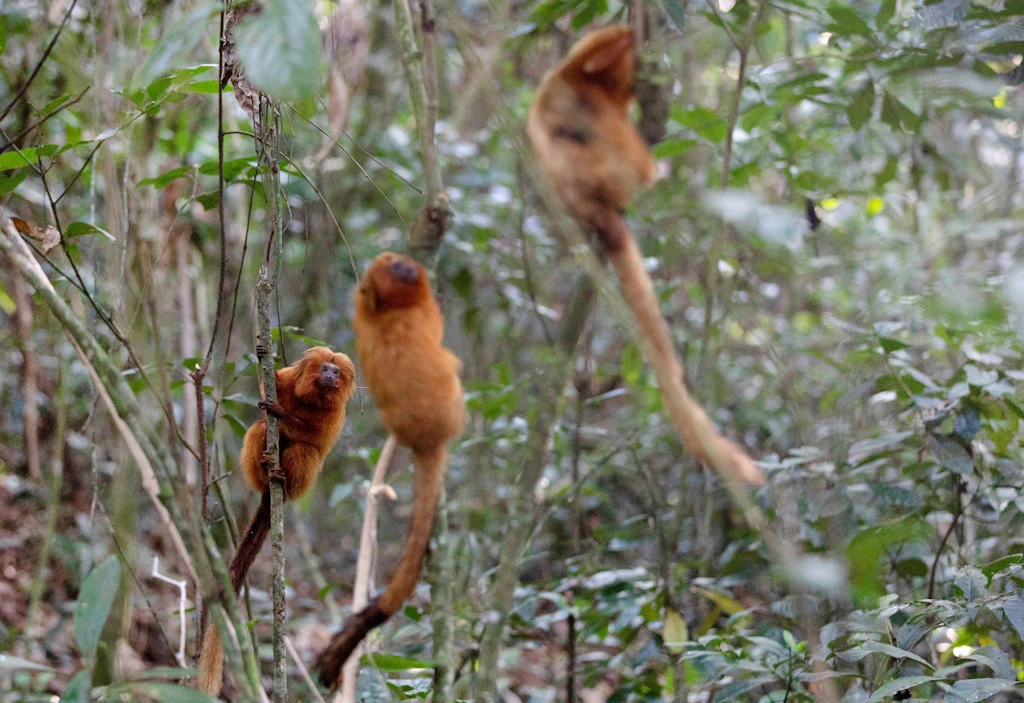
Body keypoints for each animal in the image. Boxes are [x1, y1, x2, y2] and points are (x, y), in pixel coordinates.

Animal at [197, 346, 355, 697]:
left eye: (336, 372)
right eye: (325, 368)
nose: (329, 375)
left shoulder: (335, 416)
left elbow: (314, 437)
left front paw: (283, 414)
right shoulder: (286, 380)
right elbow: (267, 387)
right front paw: (260, 355)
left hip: (300, 479)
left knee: (306, 451)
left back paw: (282, 476)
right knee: (258, 429)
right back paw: (266, 463)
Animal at [313, 252, 466, 687]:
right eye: (396, 264)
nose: (404, 265)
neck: (393, 310)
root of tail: (428, 438)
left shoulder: (364, 310)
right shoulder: (425, 312)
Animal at [527, 25, 765, 486]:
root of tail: (594, 211)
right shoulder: (585, 82)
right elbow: (598, 56)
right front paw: (634, 37)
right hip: (604, 169)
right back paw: (646, 170)